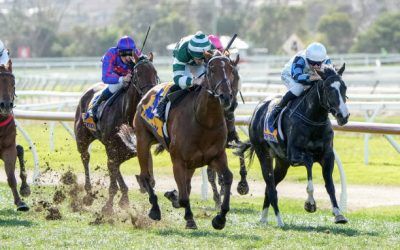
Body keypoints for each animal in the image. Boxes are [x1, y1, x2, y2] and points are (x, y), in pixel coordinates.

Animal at [74, 52, 159, 213]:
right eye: (137, 74)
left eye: (155, 73)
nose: (149, 96)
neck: (126, 113)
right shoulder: (111, 146)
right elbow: (112, 173)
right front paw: (108, 207)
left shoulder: (136, 145)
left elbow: (148, 173)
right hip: (82, 139)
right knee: (86, 158)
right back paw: (88, 193)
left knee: (114, 166)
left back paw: (124, 196)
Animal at [122, 51, 239, 230]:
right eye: (212, 70)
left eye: (231, 70)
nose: (226, 97)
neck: (204, 121)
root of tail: (148, 92)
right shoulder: (178, 160)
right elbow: (184, 195)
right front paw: (190, 219)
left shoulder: (217, 156)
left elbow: (227, 177)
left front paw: (220, 218)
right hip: (142, 140)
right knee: (145, 176)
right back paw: (155, 209)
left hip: (192, 162)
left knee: (186, 184)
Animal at [238, 64, 350, 227]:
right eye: (328, 89)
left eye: (344, 87)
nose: (344, 116)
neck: (314, 119)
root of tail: (257, 109)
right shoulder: (295, 156)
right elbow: (309, 166)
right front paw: (310, 204)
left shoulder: (328, 156)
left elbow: (330, 185)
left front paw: (338, 214)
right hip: (264, 154)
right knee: (271, 187)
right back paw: (279, 221)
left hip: (282, 163)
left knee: (269, 187)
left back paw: (263, 218)